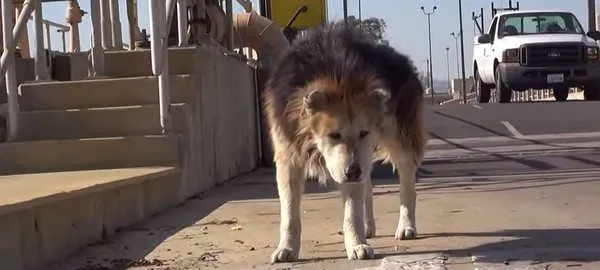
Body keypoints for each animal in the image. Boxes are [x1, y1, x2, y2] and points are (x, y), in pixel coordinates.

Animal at [262, 21, 426, 264]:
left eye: (364, 132)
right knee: (368, 183)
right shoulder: (288, 155)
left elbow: (352, 212)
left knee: (406, 183)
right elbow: (290, 213)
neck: (335, 74)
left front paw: (357, 245)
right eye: (334, 135)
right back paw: (369, 226)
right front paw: (287, 248)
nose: (353, 171)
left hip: (400, 139)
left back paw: (406, 226)